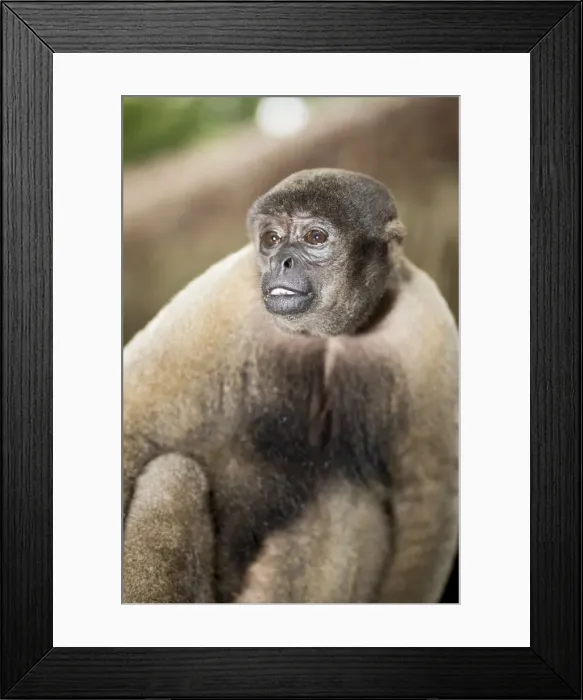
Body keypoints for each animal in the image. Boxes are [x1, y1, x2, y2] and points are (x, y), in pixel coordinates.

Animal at [122, 167, 459, 604]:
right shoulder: (223, 297)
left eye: (315, 237)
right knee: (173, 474)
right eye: (271, 239)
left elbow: (427, 499)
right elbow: (133, 428)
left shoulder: (426, 324)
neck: (327, 337)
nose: (282, 261)